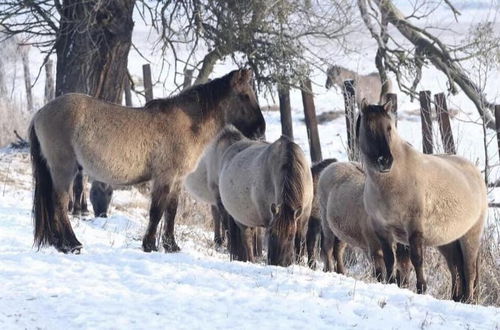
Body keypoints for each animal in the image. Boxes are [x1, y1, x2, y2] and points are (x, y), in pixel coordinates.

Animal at [29, 69, 268, 254]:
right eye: (244, 96)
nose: (260, 130)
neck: (187, 124)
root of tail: (40, 113)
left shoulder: (177, 180)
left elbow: (171, 211)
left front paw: (171, 246)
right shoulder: (164, 177)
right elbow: (156, 211)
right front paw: (150, 245)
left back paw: (60, 243)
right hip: (64, 168)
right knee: (59, 203)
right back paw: (71, 244)